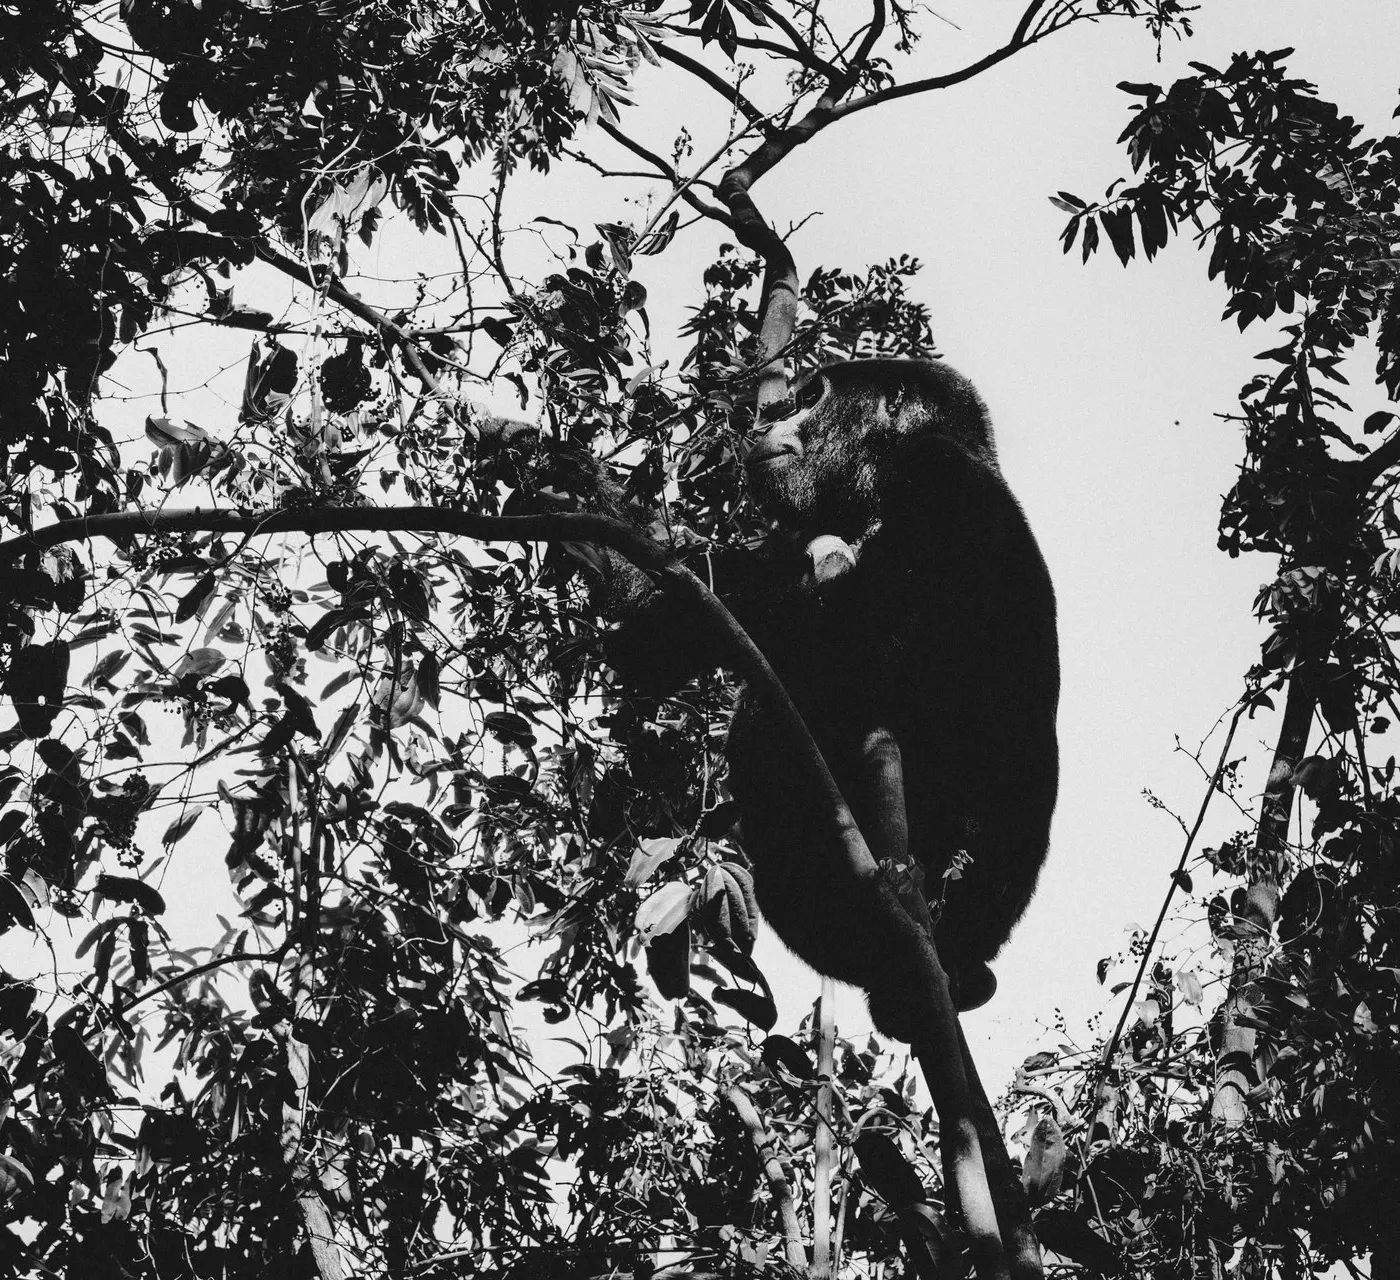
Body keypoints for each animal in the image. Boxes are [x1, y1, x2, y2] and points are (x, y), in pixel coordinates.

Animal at [591, 359, 1059, 1039]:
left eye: (812, 397)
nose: (769, 418)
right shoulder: (794, 534)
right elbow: (676, 620)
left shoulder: (942, 477)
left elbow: (869, 648)